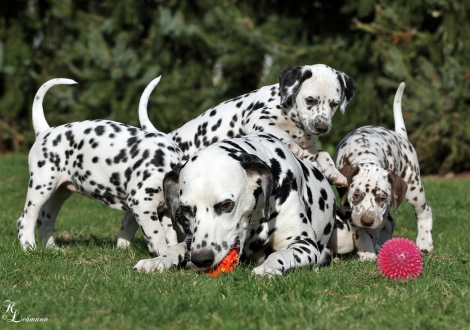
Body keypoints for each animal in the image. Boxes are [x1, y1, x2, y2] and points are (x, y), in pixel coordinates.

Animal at [16, 78, 183, 254]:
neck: (168, 165)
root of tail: (45, 131)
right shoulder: (142, 203)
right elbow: (157, 234)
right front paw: (163, 253)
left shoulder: (165, 211)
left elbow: (170, 236)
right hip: (41, 187)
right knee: (25, 221)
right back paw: (29, 248)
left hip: (59, 193)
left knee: (45, 218)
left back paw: (52, 249)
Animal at [134, 133, 336, 278]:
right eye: (185, 209)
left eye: (226, 205)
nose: (201, 258)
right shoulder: (192, 240)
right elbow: (176, 248)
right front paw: (158, 261)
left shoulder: (304, 244)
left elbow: (277, 255)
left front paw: (268, 268)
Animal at [139, 63, 356, 186]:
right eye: (310, 100)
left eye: (334, 104)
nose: (322, 127)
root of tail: (169, 137)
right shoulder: (256, 119)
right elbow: (279, 133)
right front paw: (291, 145)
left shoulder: (311, 147)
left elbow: (323, 154)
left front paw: (333, 173)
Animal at [330, 81, 434, 260]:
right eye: (356, 195)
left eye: (382, 198)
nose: (367, 221)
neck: (366, 153)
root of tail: (401, 137)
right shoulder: (348, 208)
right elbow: (358, 229)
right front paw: (366, 248)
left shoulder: (382, 209)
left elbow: (374, 230)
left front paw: (367, 250)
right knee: (389, 224)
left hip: (414, 188)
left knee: (424, 211)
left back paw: (424, 242)